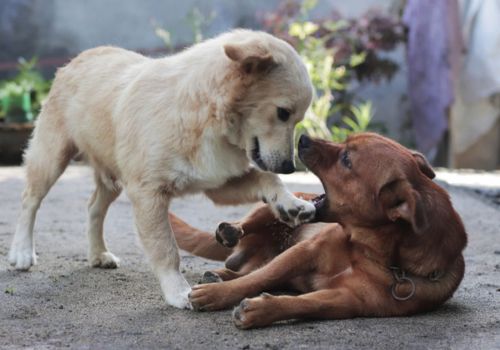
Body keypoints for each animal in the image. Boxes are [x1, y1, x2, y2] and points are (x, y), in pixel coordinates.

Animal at [7, 30, 314, 308]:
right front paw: (178, 292)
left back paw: (98, 254)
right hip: (52, 158)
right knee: (29, 200)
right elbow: (166, 248)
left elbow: (267, 177)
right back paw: (21, 252)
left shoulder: (218, 183)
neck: (203, 113)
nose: (290, 167)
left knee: (94, 207)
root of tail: (82, 56)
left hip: (113, 178)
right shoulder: (148, 194)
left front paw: (291, 203)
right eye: (283, 113)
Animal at [170, 133, 466, 326]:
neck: (372, 251)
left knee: (246, 269)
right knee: (251, 245)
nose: (302, 137)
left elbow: (309, 302)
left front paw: (262, 310)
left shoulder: (347, 300)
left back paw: (219, 274)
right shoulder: (305, 251)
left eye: (346, 159)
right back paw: (230, 234)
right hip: (281, 205)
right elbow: (259, 279)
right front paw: (217, 295)